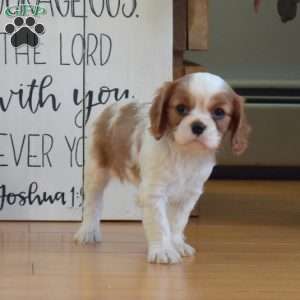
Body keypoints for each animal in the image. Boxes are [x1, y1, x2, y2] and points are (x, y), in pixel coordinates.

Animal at [75, 74, 251, 264]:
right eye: (181, 108)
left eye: (219, 112)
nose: (198, 126)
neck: (185, 154)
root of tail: (114, 106)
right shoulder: (154, 192)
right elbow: (159, 223)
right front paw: (163, 250)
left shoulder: (188, 195)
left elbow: (177, 222)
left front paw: (177, 244)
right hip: (96, 169)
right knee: (93, 202)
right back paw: (88, 231)